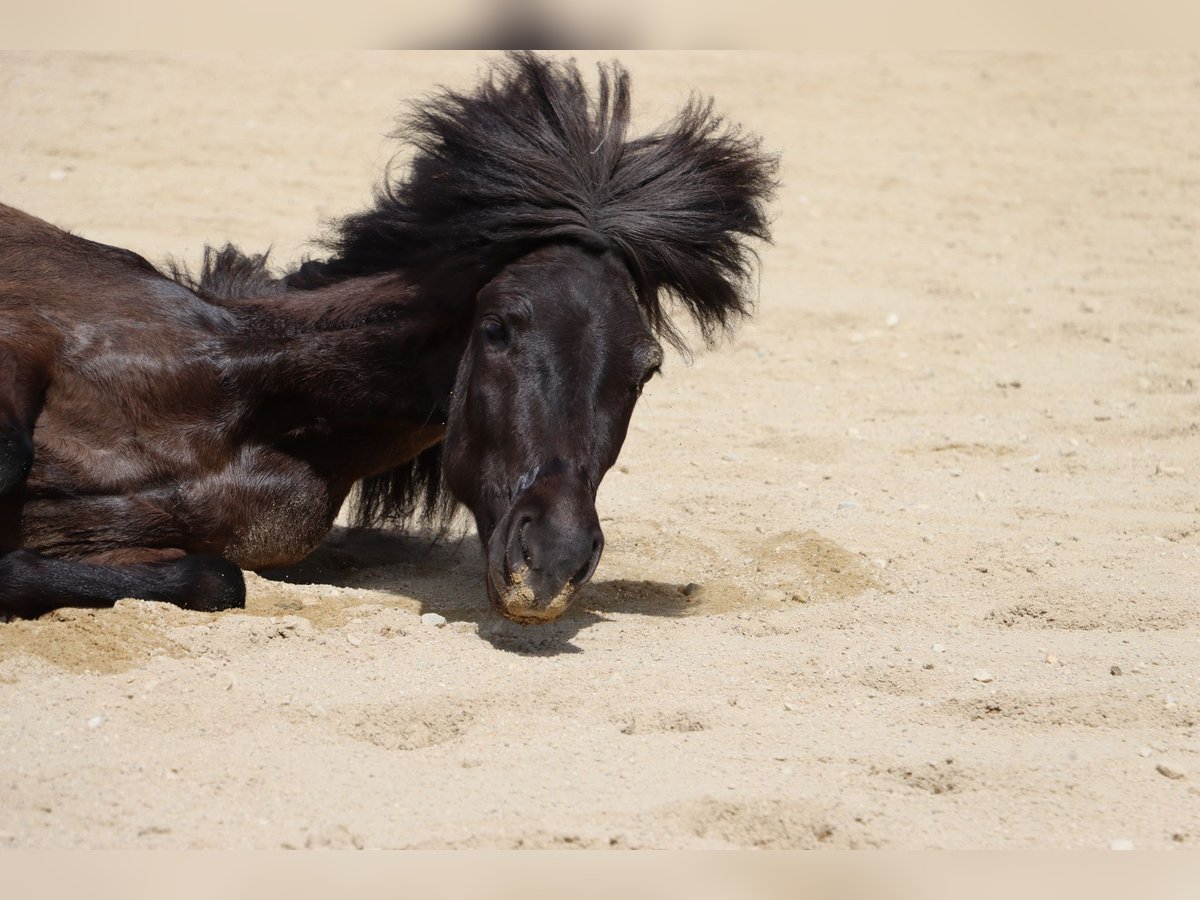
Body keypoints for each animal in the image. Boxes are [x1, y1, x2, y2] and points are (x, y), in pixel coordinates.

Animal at [0, 52, 777, 624]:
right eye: (495, 328)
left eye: (646, 368)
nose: (551, 562)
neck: (242, 390)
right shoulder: (23, 336)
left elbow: (217, 580)